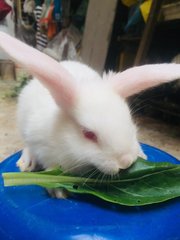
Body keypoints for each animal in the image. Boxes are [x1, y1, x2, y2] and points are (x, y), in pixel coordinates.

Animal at [0, 32, 180, 178]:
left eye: (130, 121)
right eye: (88, 134)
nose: (125, 162)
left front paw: (142, 155)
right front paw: (59, 192)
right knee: (26, 146)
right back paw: (26, 163)